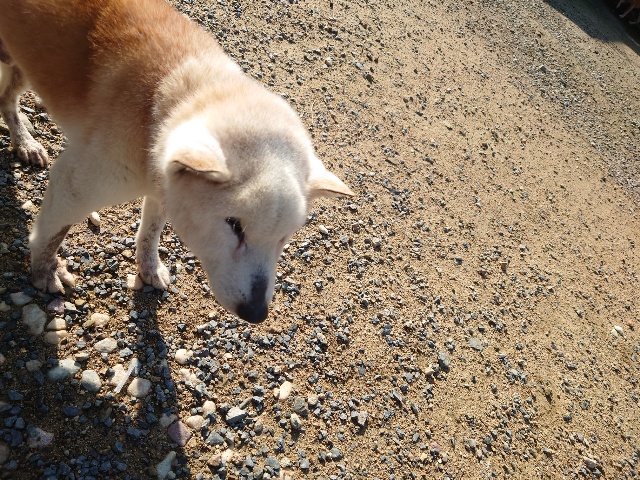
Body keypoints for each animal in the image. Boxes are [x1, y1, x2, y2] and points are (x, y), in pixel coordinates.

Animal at [0, 0, 354, 323]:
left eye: (283, 237)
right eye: (235, 226)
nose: (256, 314)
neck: (161, 97)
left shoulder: (162, 185)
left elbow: (151, 231)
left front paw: (148, 268)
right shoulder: (73, 185)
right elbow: (51, 234)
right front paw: (46, 271)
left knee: (6, 101)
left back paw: (24, 142)